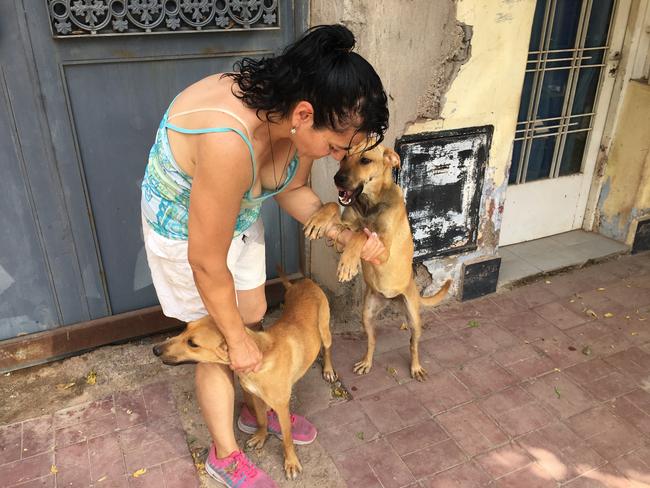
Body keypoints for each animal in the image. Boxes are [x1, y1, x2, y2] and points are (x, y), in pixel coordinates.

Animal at [152, 270, 334, 480]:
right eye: (185, 328)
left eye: (193, 343)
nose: (155, 349)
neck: (261, 356)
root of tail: (303, 282)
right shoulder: (256, 397)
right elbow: (262, 419)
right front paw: (261, 436)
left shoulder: (281, 406)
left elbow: (287, 438)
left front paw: (291, 462)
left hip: (325, 331)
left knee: (327, 349)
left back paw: (329, 370)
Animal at [306, 140, 450, 382]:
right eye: (343, 157)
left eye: (365, 159)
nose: (337, 179)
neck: (369, 205)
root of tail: (392, 299)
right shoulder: (345, 225)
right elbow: (334, 207)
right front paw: (318, 219)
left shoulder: (382, 251)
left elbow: (362, 235)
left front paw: (347, 264)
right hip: (366, 315)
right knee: (372, 342)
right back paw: (366, 362)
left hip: (413, 318)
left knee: (413, 344)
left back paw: (416, 367)